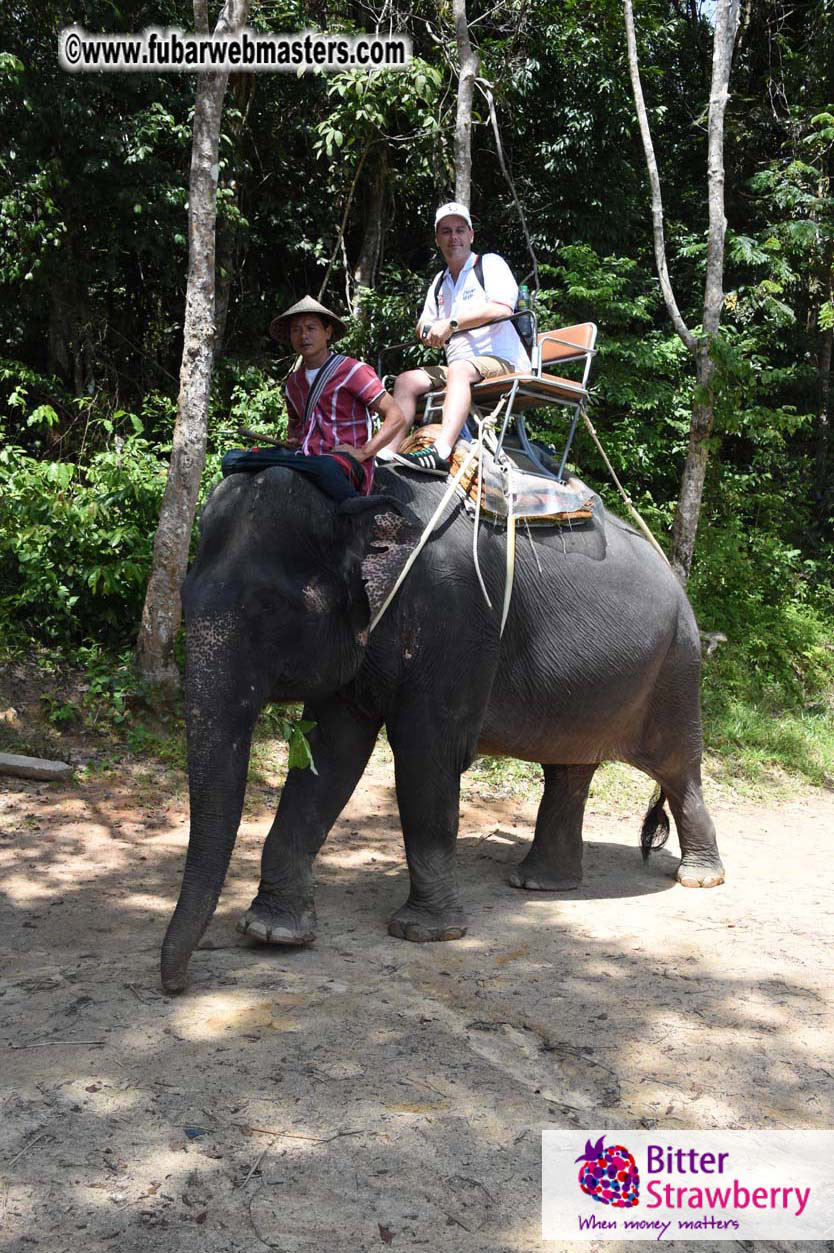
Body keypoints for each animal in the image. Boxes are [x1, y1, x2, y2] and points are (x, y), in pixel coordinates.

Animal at [160, 464, 724, 993]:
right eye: (183, 596)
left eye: (269, 608)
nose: (179, 983)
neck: (363, 496)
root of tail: (679, 583)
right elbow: (332, 753)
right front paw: (272, 933)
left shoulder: (456, 617)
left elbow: (426, 753)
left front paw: (425, 934)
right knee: (569, 769)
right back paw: (539, 884)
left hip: (677, 666)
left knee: (677, 768)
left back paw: (699, 878)